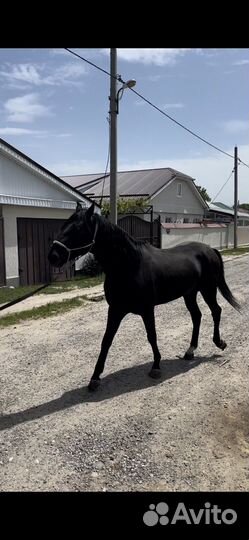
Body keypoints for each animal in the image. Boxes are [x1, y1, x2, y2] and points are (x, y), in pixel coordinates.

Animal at [47, 205, 240, 390]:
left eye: (78, 228)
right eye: (64, 224)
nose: (53, 256)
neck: (130, 264)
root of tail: (210, 250)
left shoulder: (147, 310)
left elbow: (151, 336)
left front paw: (156, 366)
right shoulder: (115, 310)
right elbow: (106, 341)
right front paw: (95, 378)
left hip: (208, 290)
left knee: (216, 311)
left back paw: (219, 342)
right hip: (189, 294)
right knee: (197, 316)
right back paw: (190, 351)